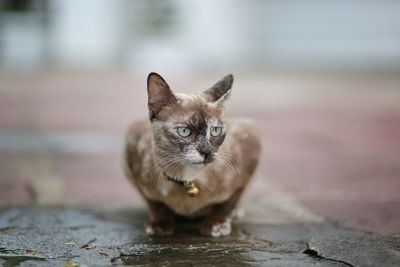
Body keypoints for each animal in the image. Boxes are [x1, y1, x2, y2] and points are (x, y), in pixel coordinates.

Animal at [126, 72, 262, 238]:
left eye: (215, 131)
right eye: (184, 131)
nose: (207, 152)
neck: (187, 178)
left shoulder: (249, 156)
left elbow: (227, 203)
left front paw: (216, 225)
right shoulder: (133, 160)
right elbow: (155, 203)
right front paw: (159, 225)